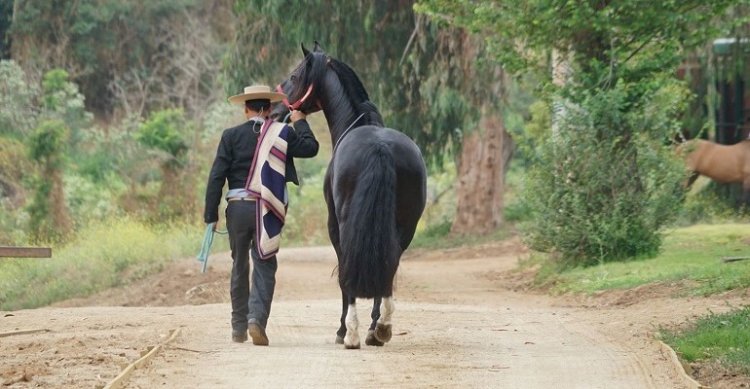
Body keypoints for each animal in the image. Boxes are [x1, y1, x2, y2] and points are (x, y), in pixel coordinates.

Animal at [274, 43, 428, 348]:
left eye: (295, 76)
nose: (275, 110)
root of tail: (380, 148)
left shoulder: (333, 225)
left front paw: (343, 329)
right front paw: (373, 327)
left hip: (346, 225)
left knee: (350, 270)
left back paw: (353, 334)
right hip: (405, 228)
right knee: (389, 263)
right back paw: (381, 328)